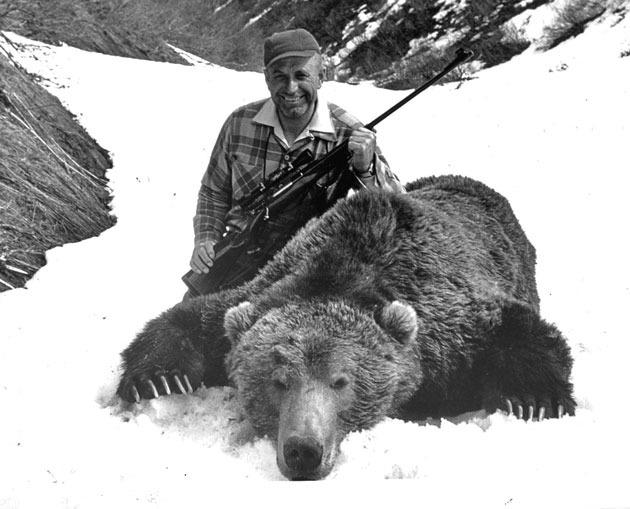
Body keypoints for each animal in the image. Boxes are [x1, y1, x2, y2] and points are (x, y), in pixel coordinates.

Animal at [117, 176, 576, 480]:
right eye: (278, 380)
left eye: (341, 381)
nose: (303, 450)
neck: (344, 269)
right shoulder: (263, 292)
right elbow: (194, 318)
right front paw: (158, 379)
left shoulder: (449, 321)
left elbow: (515, 330)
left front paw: (533, 400)